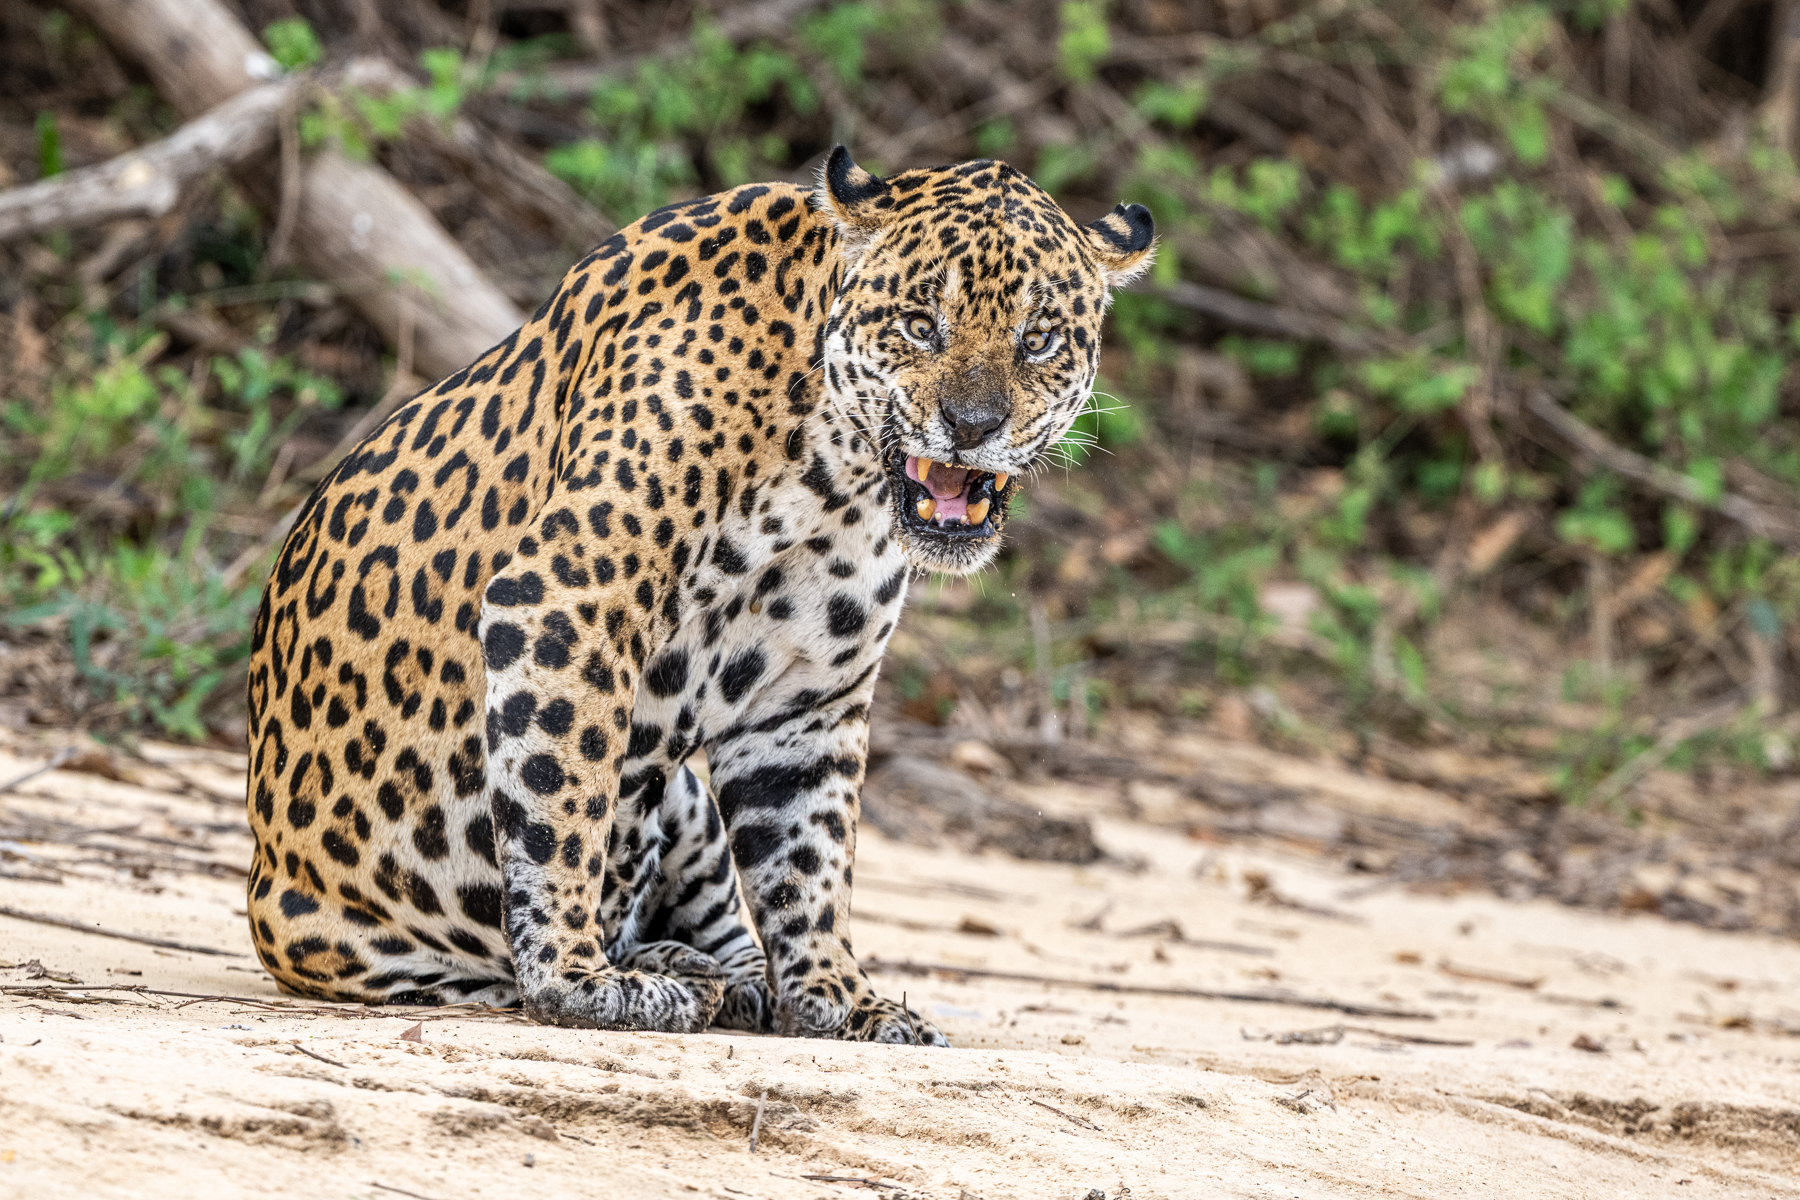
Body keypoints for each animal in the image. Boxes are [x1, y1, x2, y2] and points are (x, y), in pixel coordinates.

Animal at [243, 146, 1154, 1044]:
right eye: (920, 324)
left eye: (1039, 338)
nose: (972, 426)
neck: (834, 478)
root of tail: (261, 873)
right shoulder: (568, 593)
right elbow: (558, 801)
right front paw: (574, 982)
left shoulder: (807, 700)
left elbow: (809, 858)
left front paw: (842, 998)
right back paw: (652, 975)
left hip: (681, 798)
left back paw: (715, 975)